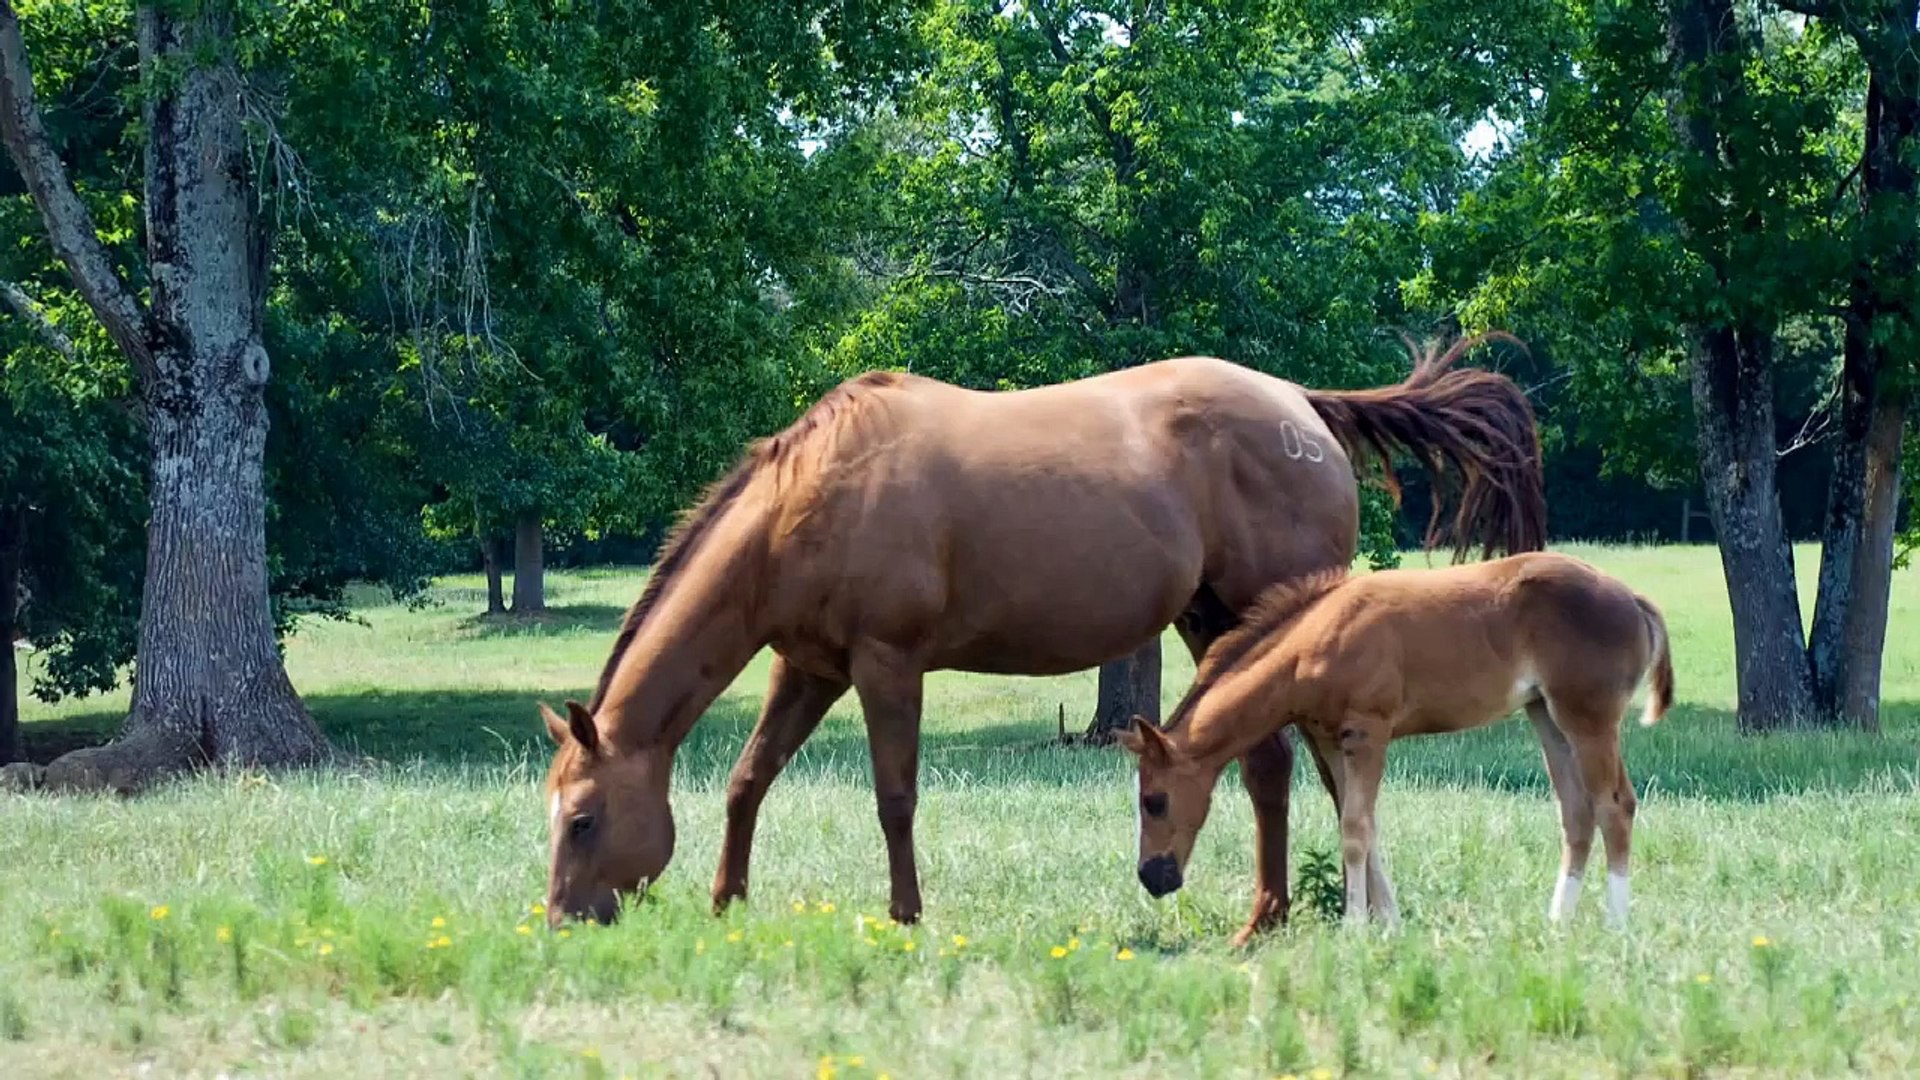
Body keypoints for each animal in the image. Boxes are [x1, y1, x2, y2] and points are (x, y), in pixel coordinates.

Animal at [539, 336, 1548, 938]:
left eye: (583, 820)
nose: (561, 920)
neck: (812, 496)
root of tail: (1303, 405)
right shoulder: (809, 668)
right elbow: (750, 779)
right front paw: (727, 903)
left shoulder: (886, 665)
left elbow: (894, 798)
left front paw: (905, 915)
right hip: (1215, 623)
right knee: (1269, 767)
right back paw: (1273, 915)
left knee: (1322, 768)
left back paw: (1326, 914)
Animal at [1119, 550, 1673, 940]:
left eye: (1154, 800)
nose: (1152, 877)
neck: (1314, 643)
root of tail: (1634, 600)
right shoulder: (1333, 739)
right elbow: (1361, 823)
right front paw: (1388, 923)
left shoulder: (1369, 732)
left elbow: (1355, 829)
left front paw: (1355, 928)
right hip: (1547, 717)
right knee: (1576, 813)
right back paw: (1558, 923)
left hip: (1588, 719)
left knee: (1614, 806)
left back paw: (1615, 925)